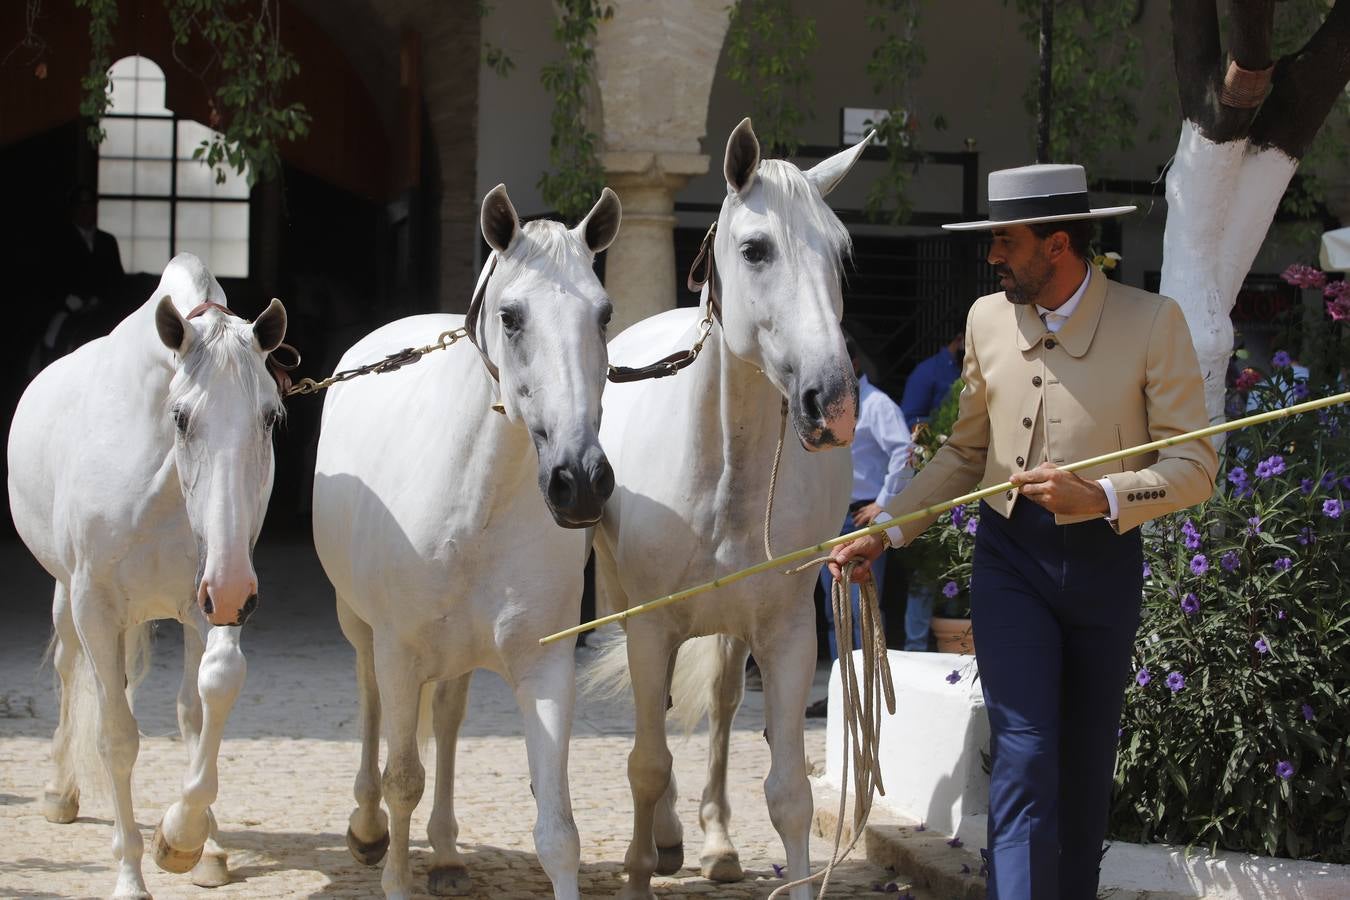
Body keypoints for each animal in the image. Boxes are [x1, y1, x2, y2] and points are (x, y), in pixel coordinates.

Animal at [8, 255, 287, 900]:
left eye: (270, 417)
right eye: (180, 418)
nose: (230, 590)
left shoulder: (213, 593)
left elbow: (209, 699)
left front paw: (187, 840)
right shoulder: (96, 606)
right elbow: (117, 736)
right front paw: (131, 874)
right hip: (67, 596)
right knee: (70, 670)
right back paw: (60, 793)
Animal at [311, 183, 621, 900]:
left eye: (603, 314)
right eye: (511, 316)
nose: (580, 481)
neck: (477, 503)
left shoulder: (544, 663)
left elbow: (558, 831)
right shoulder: (399, 651)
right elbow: (402, 778)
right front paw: (394, 877)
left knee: (448, 722)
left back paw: (449, 853)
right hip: (360, 626)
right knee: (371, 705)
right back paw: (366, 829)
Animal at [594, 116, 869, 895]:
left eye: (842, 253)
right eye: (756, 248)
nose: (832, 402)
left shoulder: (787, 633)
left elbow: (790, 793)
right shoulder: (649, 627)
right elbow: (646, 765)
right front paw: (637, 867)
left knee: (718, 706)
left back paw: (715, 843)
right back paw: (665, 839)